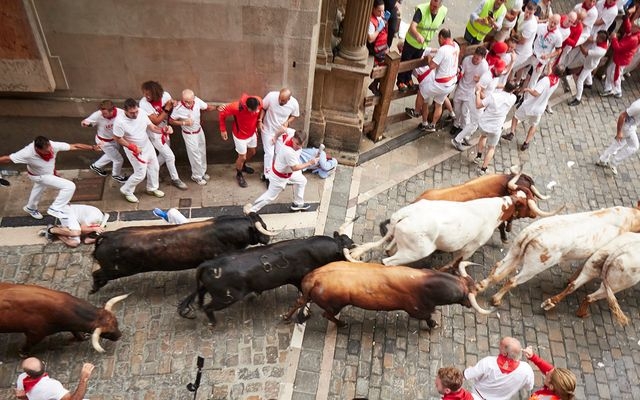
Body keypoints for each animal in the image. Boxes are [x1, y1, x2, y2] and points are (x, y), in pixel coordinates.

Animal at [0, 282, 129, 354]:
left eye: (117, 323)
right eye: (106, 333)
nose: (119, 336)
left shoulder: (72, 325)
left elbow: (76, 332)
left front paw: (82, 337)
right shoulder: (35, 334)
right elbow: (29, 344)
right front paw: (23, 353)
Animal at [90, 214, 272, 292]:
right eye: (261, 227)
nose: (268, 238)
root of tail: (107, 235)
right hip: (115, 270)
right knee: (97, 274)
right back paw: (94, 288)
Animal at [176, 233, 356, 324]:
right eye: (347, 249)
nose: (355, 251)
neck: (310, 249)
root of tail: (208, 264)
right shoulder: (300, 280)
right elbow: (303, 299)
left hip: (210, 290)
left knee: (200, 296)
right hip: (226, 297)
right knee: (208, 307)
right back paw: (213, 322)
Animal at [282, 260, 492, 328]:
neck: (427, 284)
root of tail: (314, 278)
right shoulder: (417, 310)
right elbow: (428, 317)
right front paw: (434, 325)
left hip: (309, 295)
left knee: (298, 301)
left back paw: (285, 317)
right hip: (334, 305)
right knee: (327, 314)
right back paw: (342, 324)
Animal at [478, 203, 640, 306]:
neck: (630, 217)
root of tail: (535, 232)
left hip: (516, 250)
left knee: (498, 268)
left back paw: (481, 286)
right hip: (534, 266)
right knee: (512, 280)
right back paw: (496, 299)